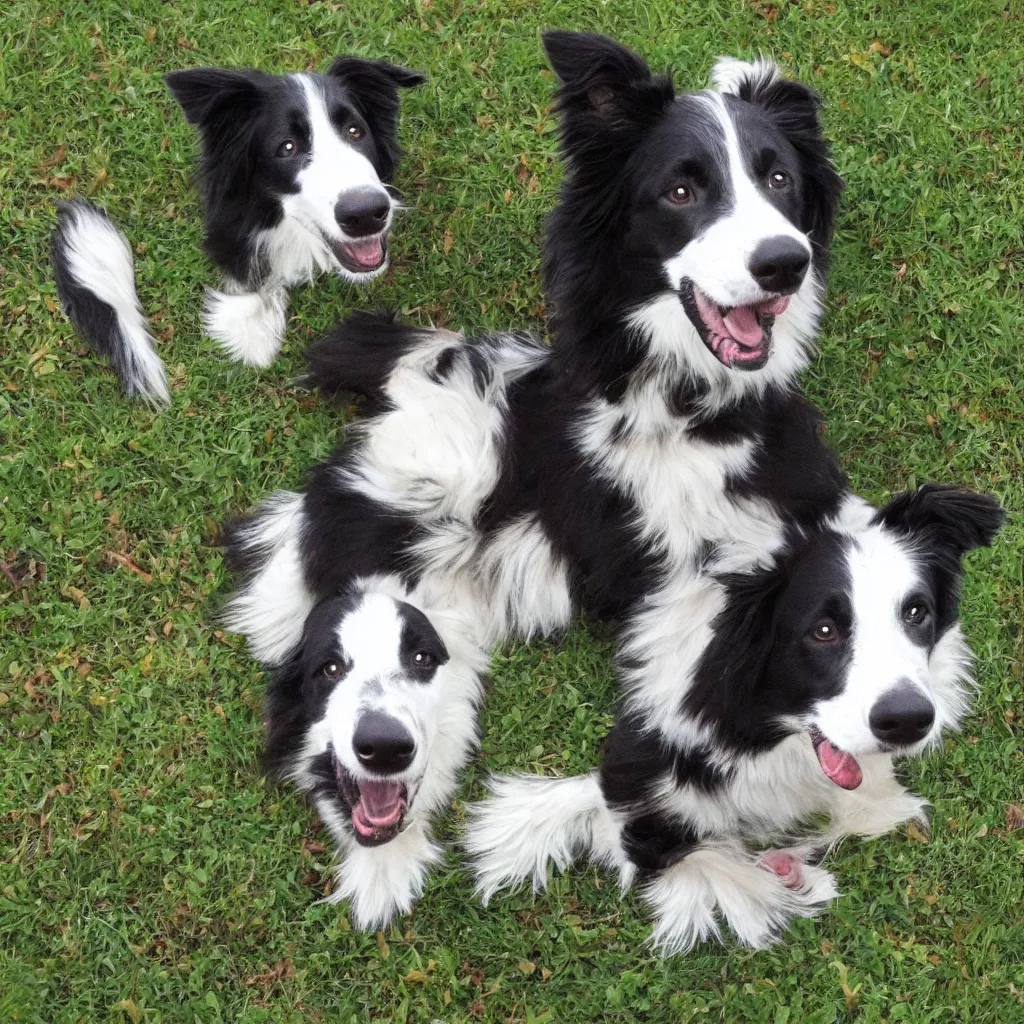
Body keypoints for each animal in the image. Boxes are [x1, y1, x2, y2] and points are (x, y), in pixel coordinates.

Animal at [468, 487, 1003, 950]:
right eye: (823, 630)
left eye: (916, 613)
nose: (908, 721)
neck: (761, 724)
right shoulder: (632, 771)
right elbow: (681, 853)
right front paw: (786, 882)